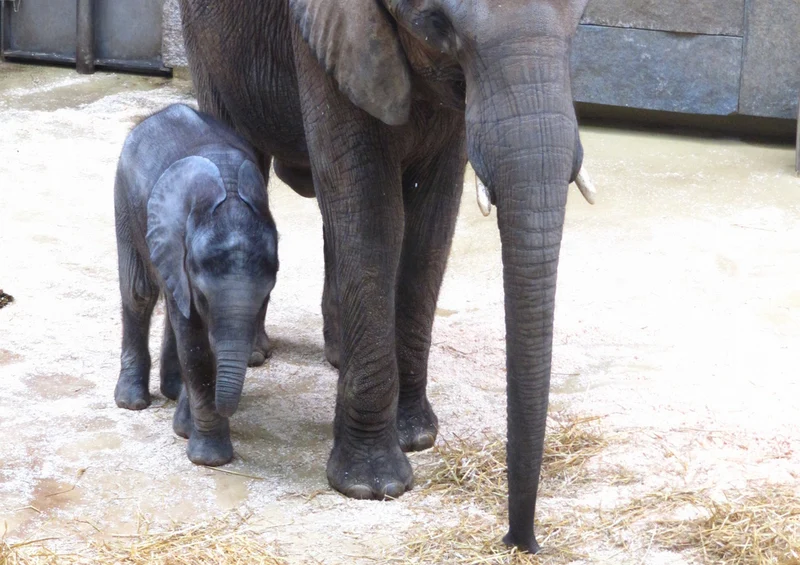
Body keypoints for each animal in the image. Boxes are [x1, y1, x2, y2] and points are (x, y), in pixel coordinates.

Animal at [114, 103, 279, 466]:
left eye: (266, 297)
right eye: (203, 296)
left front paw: (186, 430)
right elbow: (196, 343)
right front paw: (209, 459)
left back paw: (174, 392)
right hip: (124, 196)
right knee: (138, 292)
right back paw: (132, 403)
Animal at [178, 0, 595, 551]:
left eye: (581, 20)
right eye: (439, 23)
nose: (520, 541)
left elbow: (431, 222)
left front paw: (417, 437)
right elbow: (372, 214)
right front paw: (372, 485)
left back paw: (336, 356)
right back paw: (253, 353)